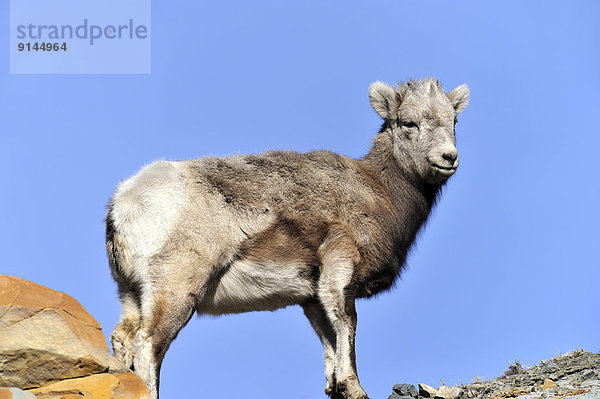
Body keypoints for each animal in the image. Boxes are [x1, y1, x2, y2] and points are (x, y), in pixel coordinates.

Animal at [104, 78, 468, 399]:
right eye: (408, 123)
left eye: (454, 121)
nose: (449, 158)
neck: (380, 191)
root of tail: (125, 202)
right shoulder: (339, 272)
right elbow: (347, 327)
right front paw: (355, 388)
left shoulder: (312, 299)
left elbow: (329, 345)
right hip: (175, 291)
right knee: (149, 345)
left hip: (131, 293)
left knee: (124, 338)